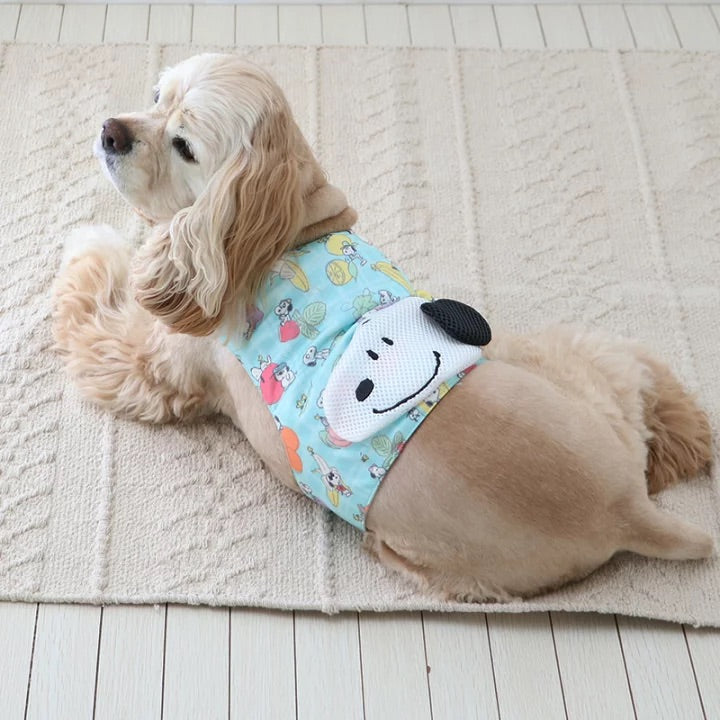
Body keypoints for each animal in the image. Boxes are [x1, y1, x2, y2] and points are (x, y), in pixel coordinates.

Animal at [52, 52, 716, 600]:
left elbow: (93, 309)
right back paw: (685, 448)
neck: (283, 230)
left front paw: (91, 243)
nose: (111, 131)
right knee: (641, 375)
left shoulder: (155, 362)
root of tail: (627, 507)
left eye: (184, 145)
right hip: (566, 365)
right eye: (155, 95)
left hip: (430, 553)